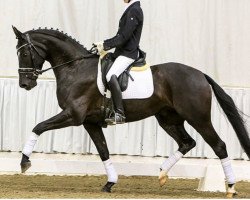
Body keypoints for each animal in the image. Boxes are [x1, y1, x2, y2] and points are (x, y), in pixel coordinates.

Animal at [12, 26, 249, 195]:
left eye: (24, 53)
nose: (25, 84)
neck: (75, 68)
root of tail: (200, 74)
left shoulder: (74, 115)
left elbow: (38, 127)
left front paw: (24, 162)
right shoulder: (90, 122)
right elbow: (104, 151)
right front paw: (110, 183)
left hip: (198, 118)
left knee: (219, 145)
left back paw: (230, 187)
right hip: (168, 119)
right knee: (187, 142)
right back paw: (162, 174)